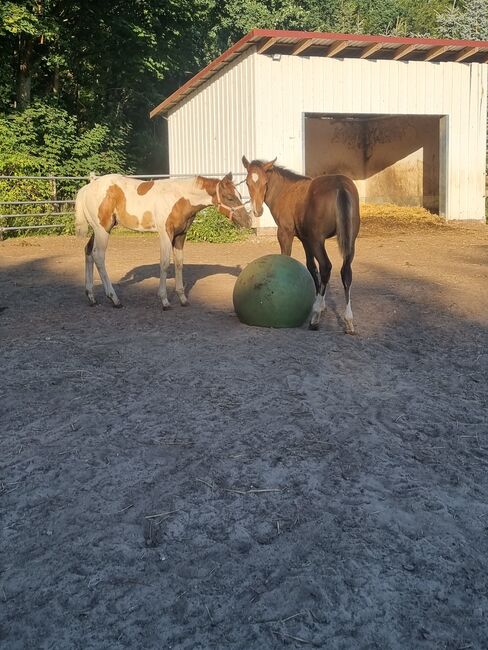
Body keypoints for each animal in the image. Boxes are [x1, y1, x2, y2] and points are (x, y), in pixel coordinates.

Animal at [74, 172, 250, 308]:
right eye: (229, 198)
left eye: (240, 195)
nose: (248, 221)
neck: (179, 198)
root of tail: (87, 188)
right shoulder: (166, 234)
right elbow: (165, 263)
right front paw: (164, 300)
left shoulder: (180, 235)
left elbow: (179, 263)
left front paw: (183, 299)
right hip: (102, 229)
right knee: (98, 256)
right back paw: (114, 299)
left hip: (98, 230)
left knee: (88, 251)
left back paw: (91, 297)